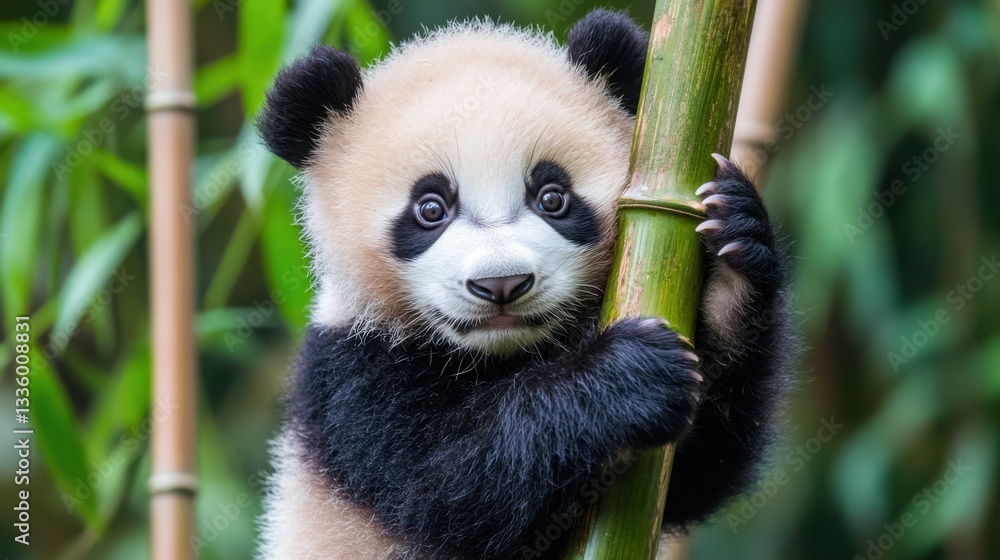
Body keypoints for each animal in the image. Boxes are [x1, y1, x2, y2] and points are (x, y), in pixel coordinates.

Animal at [255, 9, 792, 560]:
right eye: (430, 209)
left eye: (552, 197)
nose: (502, 283)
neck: (499, 356)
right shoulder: (350, 379)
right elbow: (448, 492)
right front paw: (627, 373)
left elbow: (698, 468)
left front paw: (735, 243)